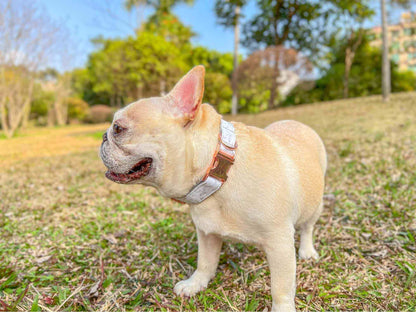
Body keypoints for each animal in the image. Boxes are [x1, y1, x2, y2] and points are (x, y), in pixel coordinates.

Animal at [100, 64, 324, 310]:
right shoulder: (207, 233)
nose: (102, 136)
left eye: (118, 128)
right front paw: (195, 284)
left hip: (315, 206)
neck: (219, 172)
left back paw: (307, 250)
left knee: (308, 228)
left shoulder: (280, 242)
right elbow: (205, 262)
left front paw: (282, 307)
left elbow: (281, 287)